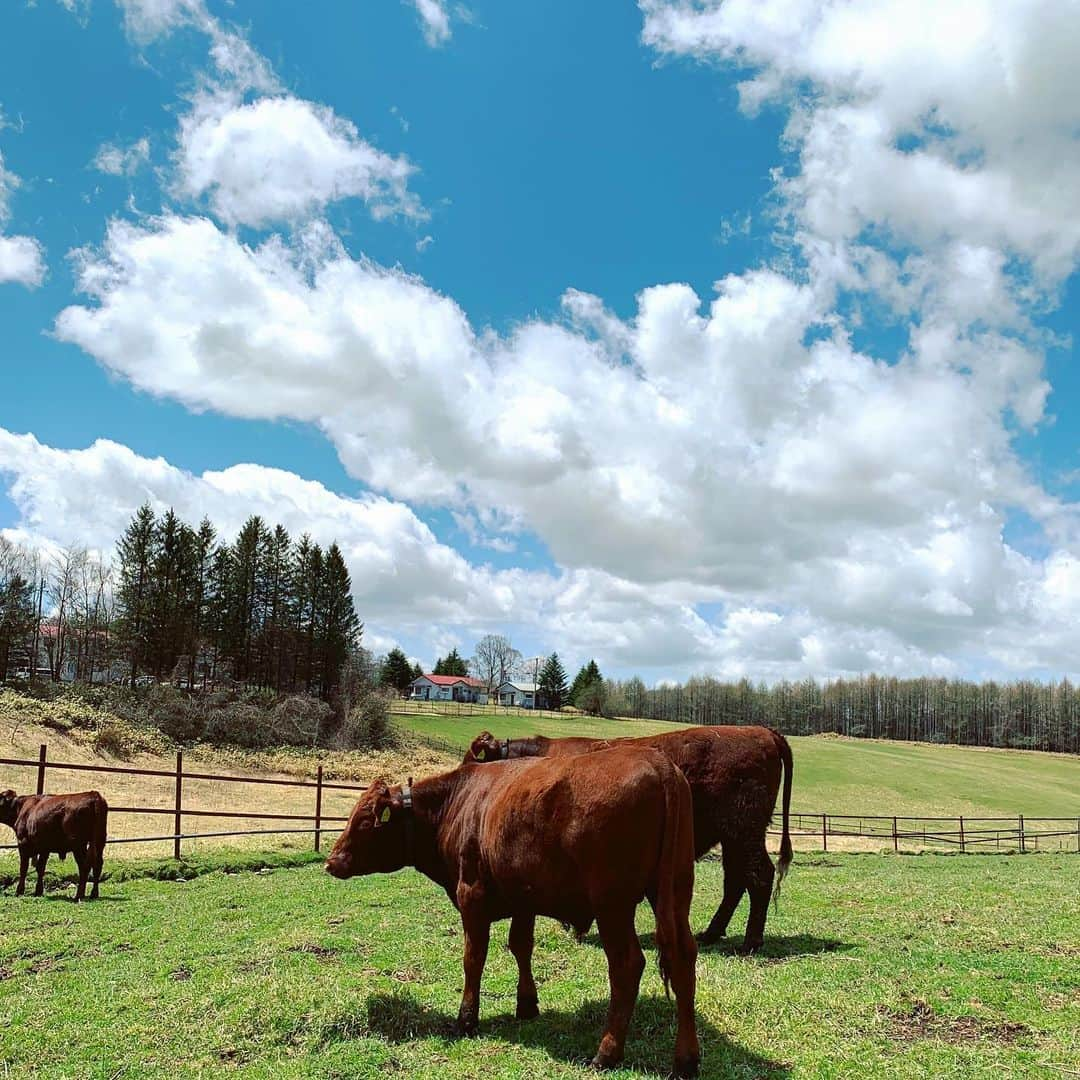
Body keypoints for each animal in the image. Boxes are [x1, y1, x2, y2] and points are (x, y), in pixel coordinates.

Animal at [324, 747, 704, 1075]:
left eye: (365, 821)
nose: (331, 861)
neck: (458, 802)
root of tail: (658, 762)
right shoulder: (524, 898)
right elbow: (521, 947)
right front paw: (527, 1004)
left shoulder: (471, 896)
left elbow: (473, 958)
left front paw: (466, 1018)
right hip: (675, 892)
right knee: (684, 959)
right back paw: (686, 1060)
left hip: (612, 904)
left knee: (627, 965)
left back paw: (606, 1052)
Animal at [466, 725, 794, 954]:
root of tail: (760, 731)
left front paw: (574, 927)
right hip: (732, 838)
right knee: (736, 880)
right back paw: (712, 934)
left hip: (744, 834)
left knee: (759, 876)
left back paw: (750, 943)